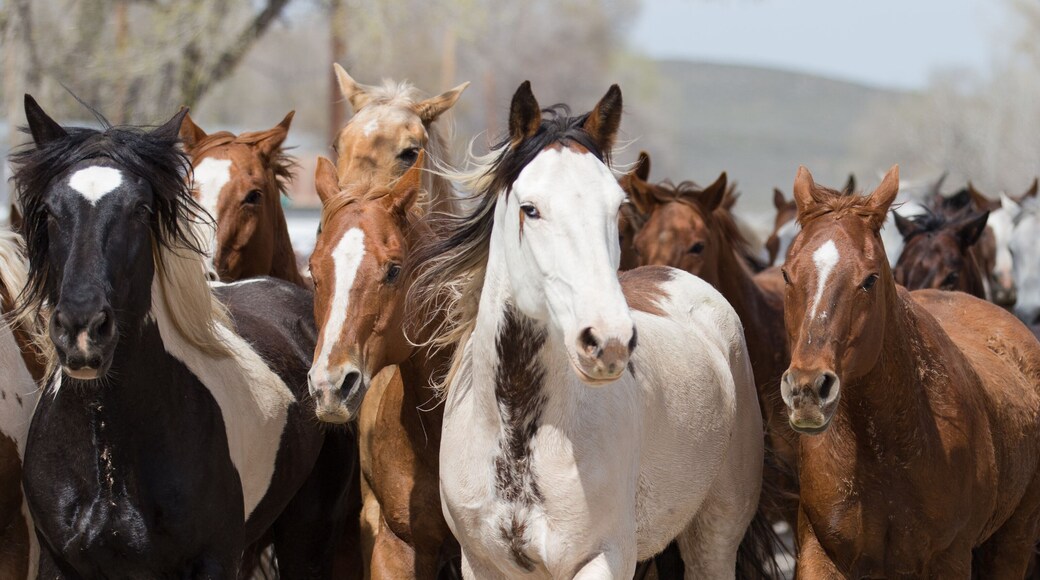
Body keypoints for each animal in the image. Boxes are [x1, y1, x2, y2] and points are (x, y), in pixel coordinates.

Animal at [410, 80, 774, 578]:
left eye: (616, 207)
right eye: (530, 209)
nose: (607, 342)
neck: (519, 434)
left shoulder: (602, 558)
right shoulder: (482, 564)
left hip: (714, 536)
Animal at [781, 164, 1040, 577]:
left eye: (870, 278)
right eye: (787, 274)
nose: (807, 389)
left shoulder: (949, 558)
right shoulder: (820, 553)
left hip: (1014, 540)